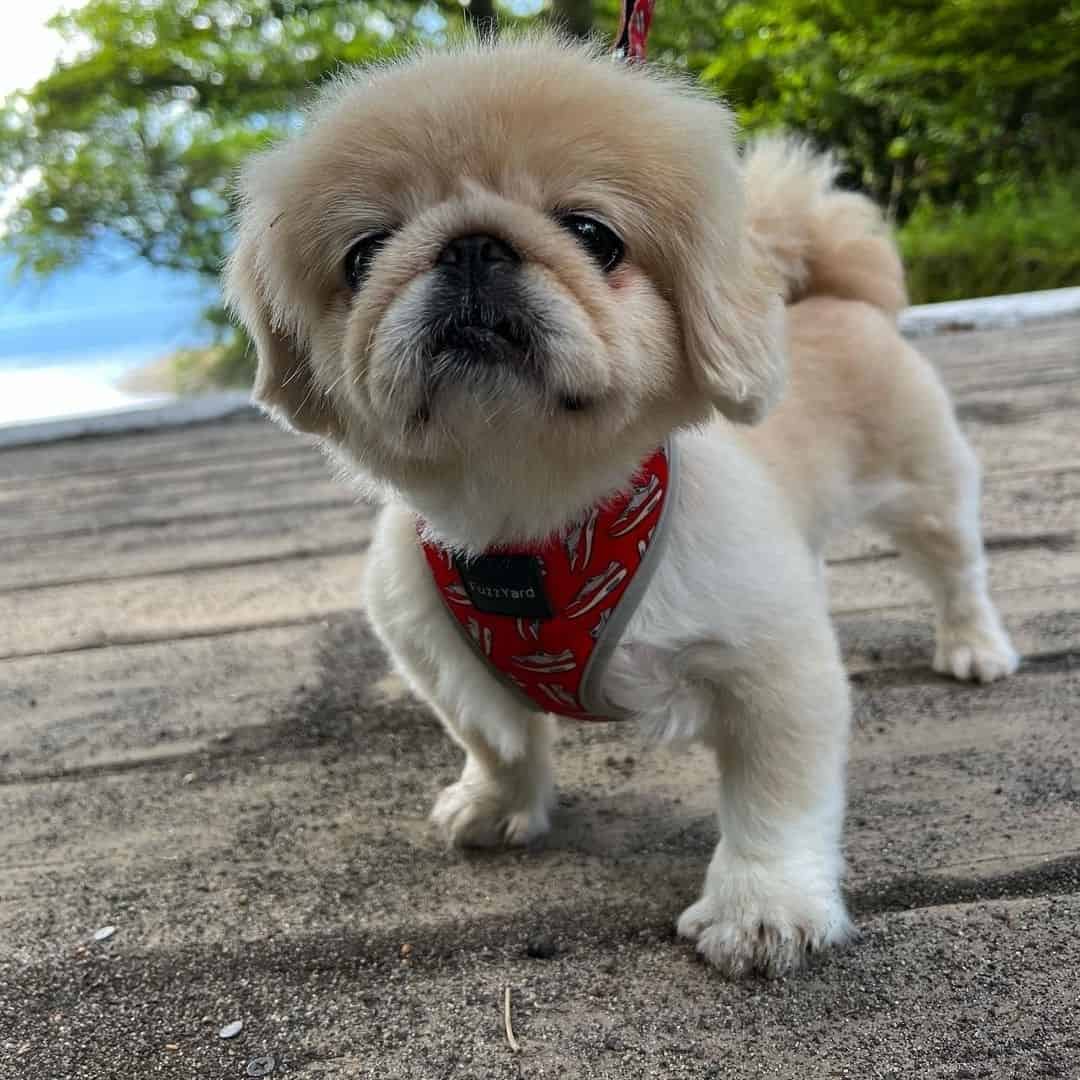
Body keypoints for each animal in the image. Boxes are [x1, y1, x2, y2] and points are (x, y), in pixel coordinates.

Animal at [223, 33, 1015, 980]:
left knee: (958, 573)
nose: (471, 246)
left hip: (929, 492)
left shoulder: (777, 678)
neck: (534, 515)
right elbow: (498, 739)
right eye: (364, 252)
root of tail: (830, 295)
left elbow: (775, 802)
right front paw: (499, 805)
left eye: (593, 235)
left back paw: (973, 648)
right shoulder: (434, 652)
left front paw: (762, 911)